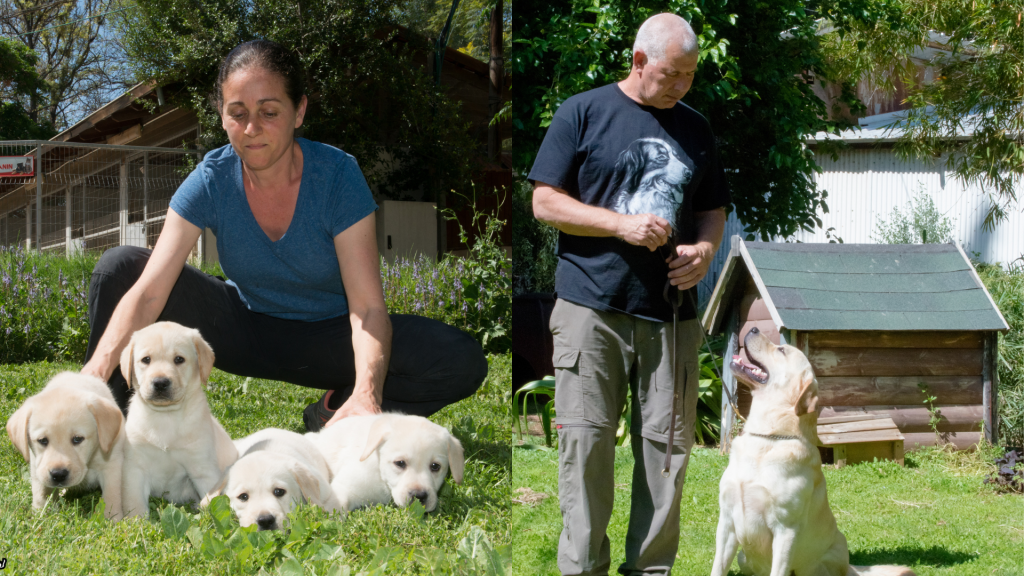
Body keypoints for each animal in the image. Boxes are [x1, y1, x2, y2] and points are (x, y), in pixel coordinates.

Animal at [5, 368, 125, 518]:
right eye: (42, 440)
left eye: (77, 439)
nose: (58, 474)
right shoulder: (37, 468)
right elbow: (40, 493)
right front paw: (40, 515)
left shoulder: (112, 465)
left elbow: (111, 496)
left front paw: (111, 518)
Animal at [118, 317, 238, 516]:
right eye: (146, 360)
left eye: (179, 359)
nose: (160, 383)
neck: (165, 417)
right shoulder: (135, 468)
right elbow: (135, 503)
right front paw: (137, 521)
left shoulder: (202, 468)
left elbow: (212, 500)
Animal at [708, 327, 917, 573]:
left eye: (781, 350)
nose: (753, 328)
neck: (768, 439)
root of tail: (851, 568)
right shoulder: (726, 522)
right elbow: (717, 568)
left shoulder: (785, 529)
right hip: (743, 557)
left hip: (823, 558)